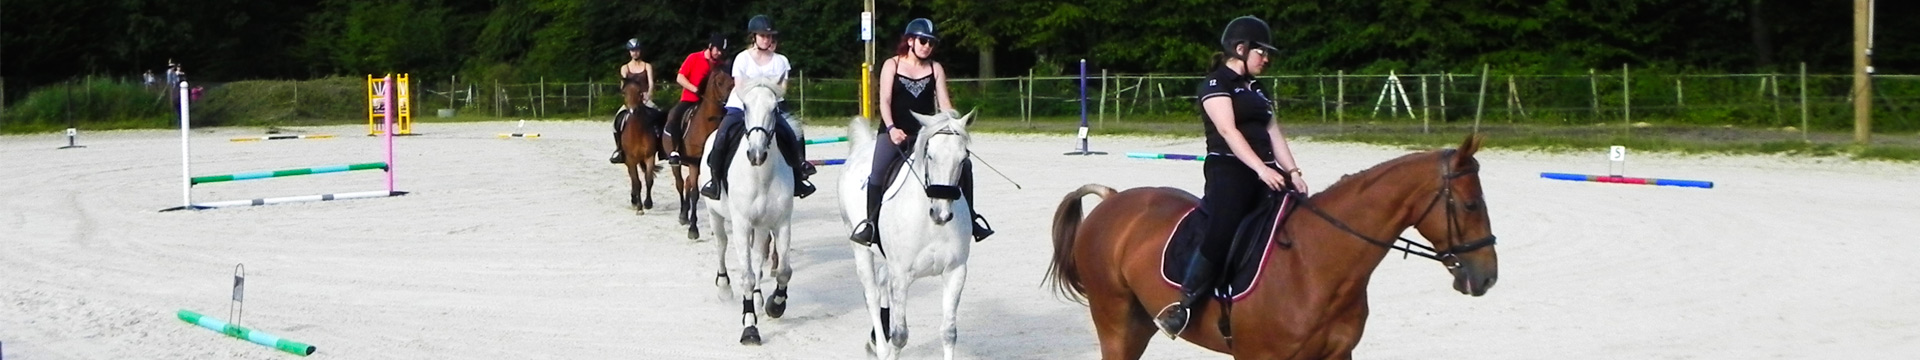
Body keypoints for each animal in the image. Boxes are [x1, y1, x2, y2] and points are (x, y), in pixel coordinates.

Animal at [672, 59, 737, 239]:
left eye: (733, 81)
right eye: (719, 82)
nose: (728, 102)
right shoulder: (694, 164)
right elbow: (695, 193)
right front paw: (693, 229)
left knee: (687, 183)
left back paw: (684, 214)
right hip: (679, 164)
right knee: (681, 184)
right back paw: (683, 216)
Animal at [702, 78, 798, 346]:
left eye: (774, 109)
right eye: (745, 106)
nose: (756, 154)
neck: (760, 176)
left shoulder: (781, 222)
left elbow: (783, 271)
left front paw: (775, 305)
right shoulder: (742, 225)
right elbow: (746, 276)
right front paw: (749, 327)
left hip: (762, 225)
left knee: (757, 258)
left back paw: (758, 297)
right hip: (715, 215)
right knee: (721, 245)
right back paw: (724, 288)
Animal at [837, 111, 975, 358]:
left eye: (963, 159)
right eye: (929, 156)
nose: (941, 214)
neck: (931, 224)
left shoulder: (955, 272)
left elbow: (949, 332)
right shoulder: (901, 275)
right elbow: (900, 336)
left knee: (882, 280)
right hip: (860, 248)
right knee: (871, 294)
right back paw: (881, 347)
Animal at [1052, 135, 1497, 360]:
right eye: (1471, 205)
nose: (1487, 277)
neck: (1315, 265)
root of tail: (1113, 200)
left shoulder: (1336, 357)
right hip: (1116, 325)